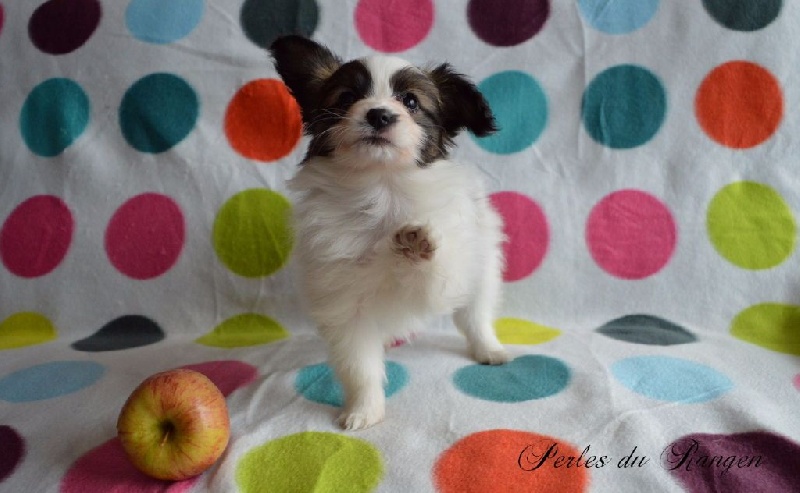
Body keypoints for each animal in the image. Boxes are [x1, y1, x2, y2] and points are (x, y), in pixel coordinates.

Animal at [270, 36, 510, 430]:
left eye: (411, 101)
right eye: (347, 98)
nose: (379, 114)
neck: (382, 188)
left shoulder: (448, 273)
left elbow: (435, 278)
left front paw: (416, 243)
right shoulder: (345, 306)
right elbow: (359, 367)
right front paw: (363, 411)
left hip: (483, 266)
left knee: (476, 316)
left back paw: (489, 350)